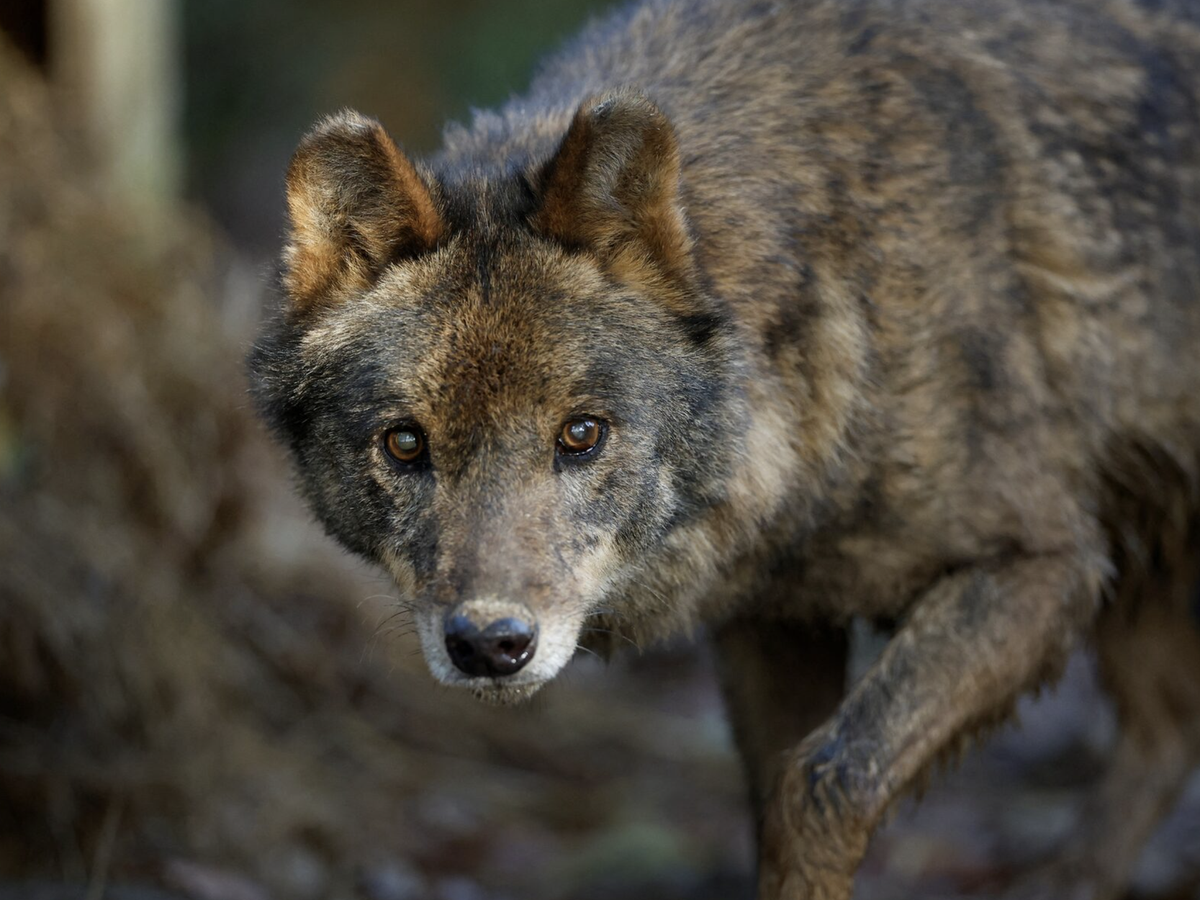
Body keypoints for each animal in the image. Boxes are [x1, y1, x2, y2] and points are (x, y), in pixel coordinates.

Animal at [249, 0, 1200, 895]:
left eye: (581, 434)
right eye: (406, 444)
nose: (488, 644)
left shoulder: (1045, 566)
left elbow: (827, 779)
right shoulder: (772, 621)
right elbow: (776, 803)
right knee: (1163, 739)